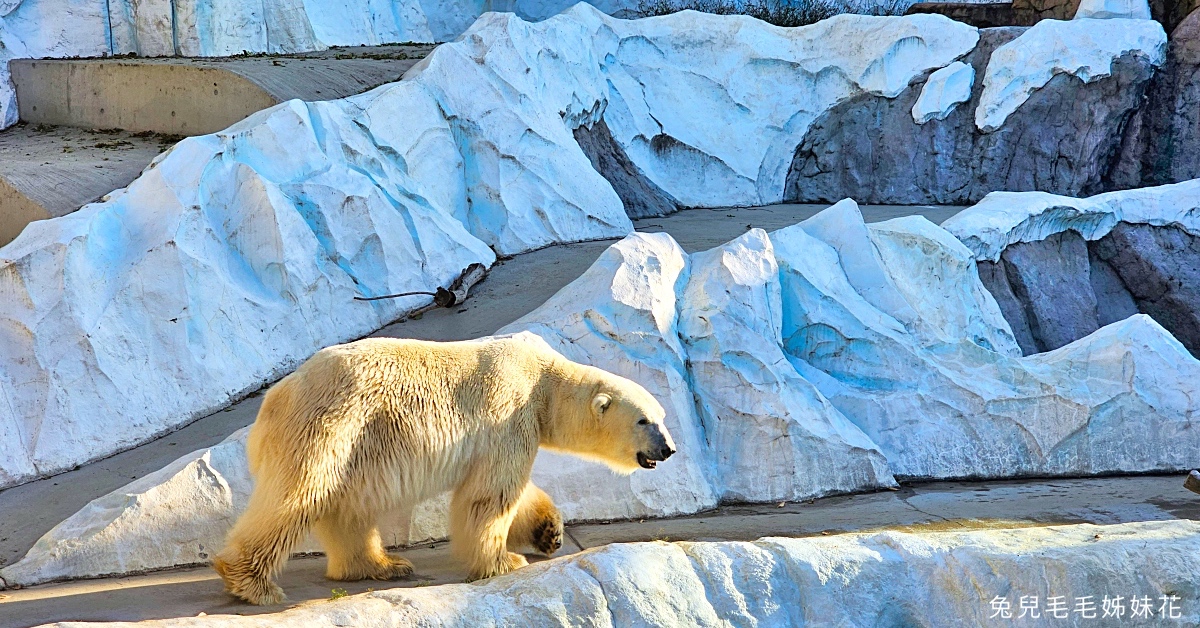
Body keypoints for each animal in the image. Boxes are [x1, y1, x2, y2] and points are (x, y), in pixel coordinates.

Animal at [214, 333, 676, 605]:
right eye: (643, 421)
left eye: (662, 416)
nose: (669, 448)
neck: (543, 379)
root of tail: (275, 399)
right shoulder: (509, 412)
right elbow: (491, 494)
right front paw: (504, 561)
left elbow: (509, 488)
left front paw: (548, 531)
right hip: (332, 426)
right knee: (297, 496)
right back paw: (252, 583)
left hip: (356, 446)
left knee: (348, 507)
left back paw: (381, 565)